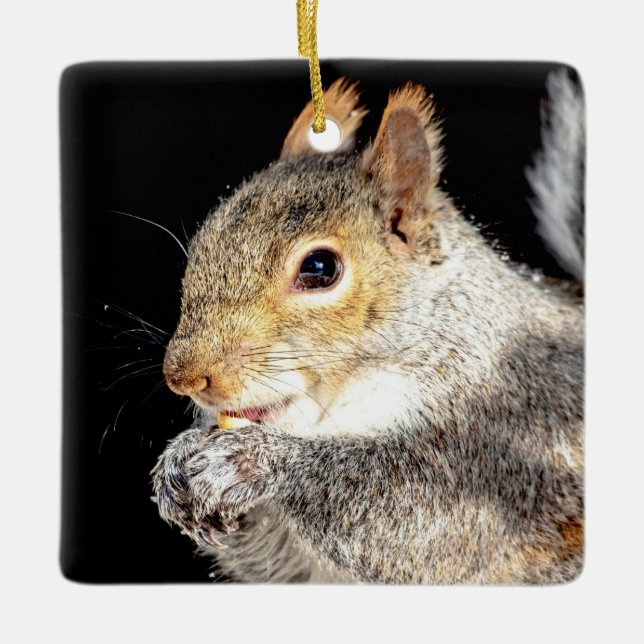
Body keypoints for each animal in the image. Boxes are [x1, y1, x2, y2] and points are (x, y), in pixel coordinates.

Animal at [152, 71, 584, 584]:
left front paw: (249, 462)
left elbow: (420, 521)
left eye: (320, 268)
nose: (183, 377)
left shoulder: (503, 443)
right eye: (202, 243)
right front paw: (176, 463)